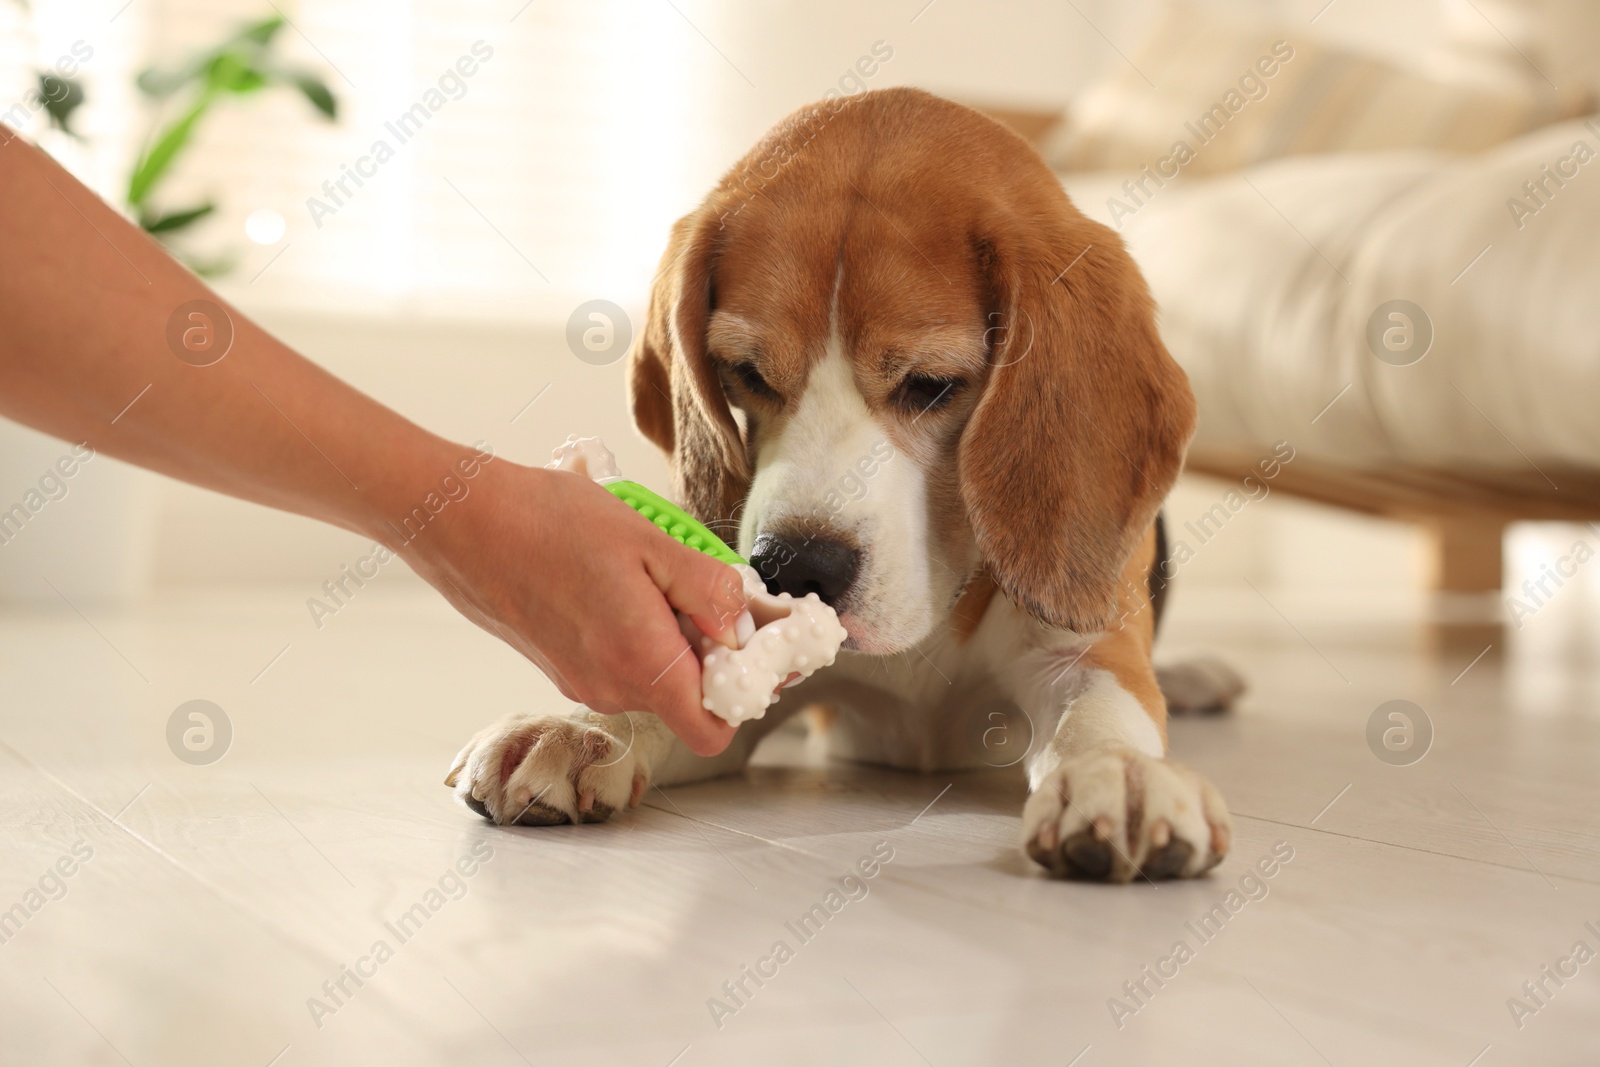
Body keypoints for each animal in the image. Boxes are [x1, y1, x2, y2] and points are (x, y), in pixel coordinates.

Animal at [451, 85, 1235, 883]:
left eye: (931, 383)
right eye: (746, 372)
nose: (793, 567)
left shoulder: (1077, 653)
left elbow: (1098, 709)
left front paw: (1119, 773)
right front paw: (581, 726)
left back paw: (1196, 677)